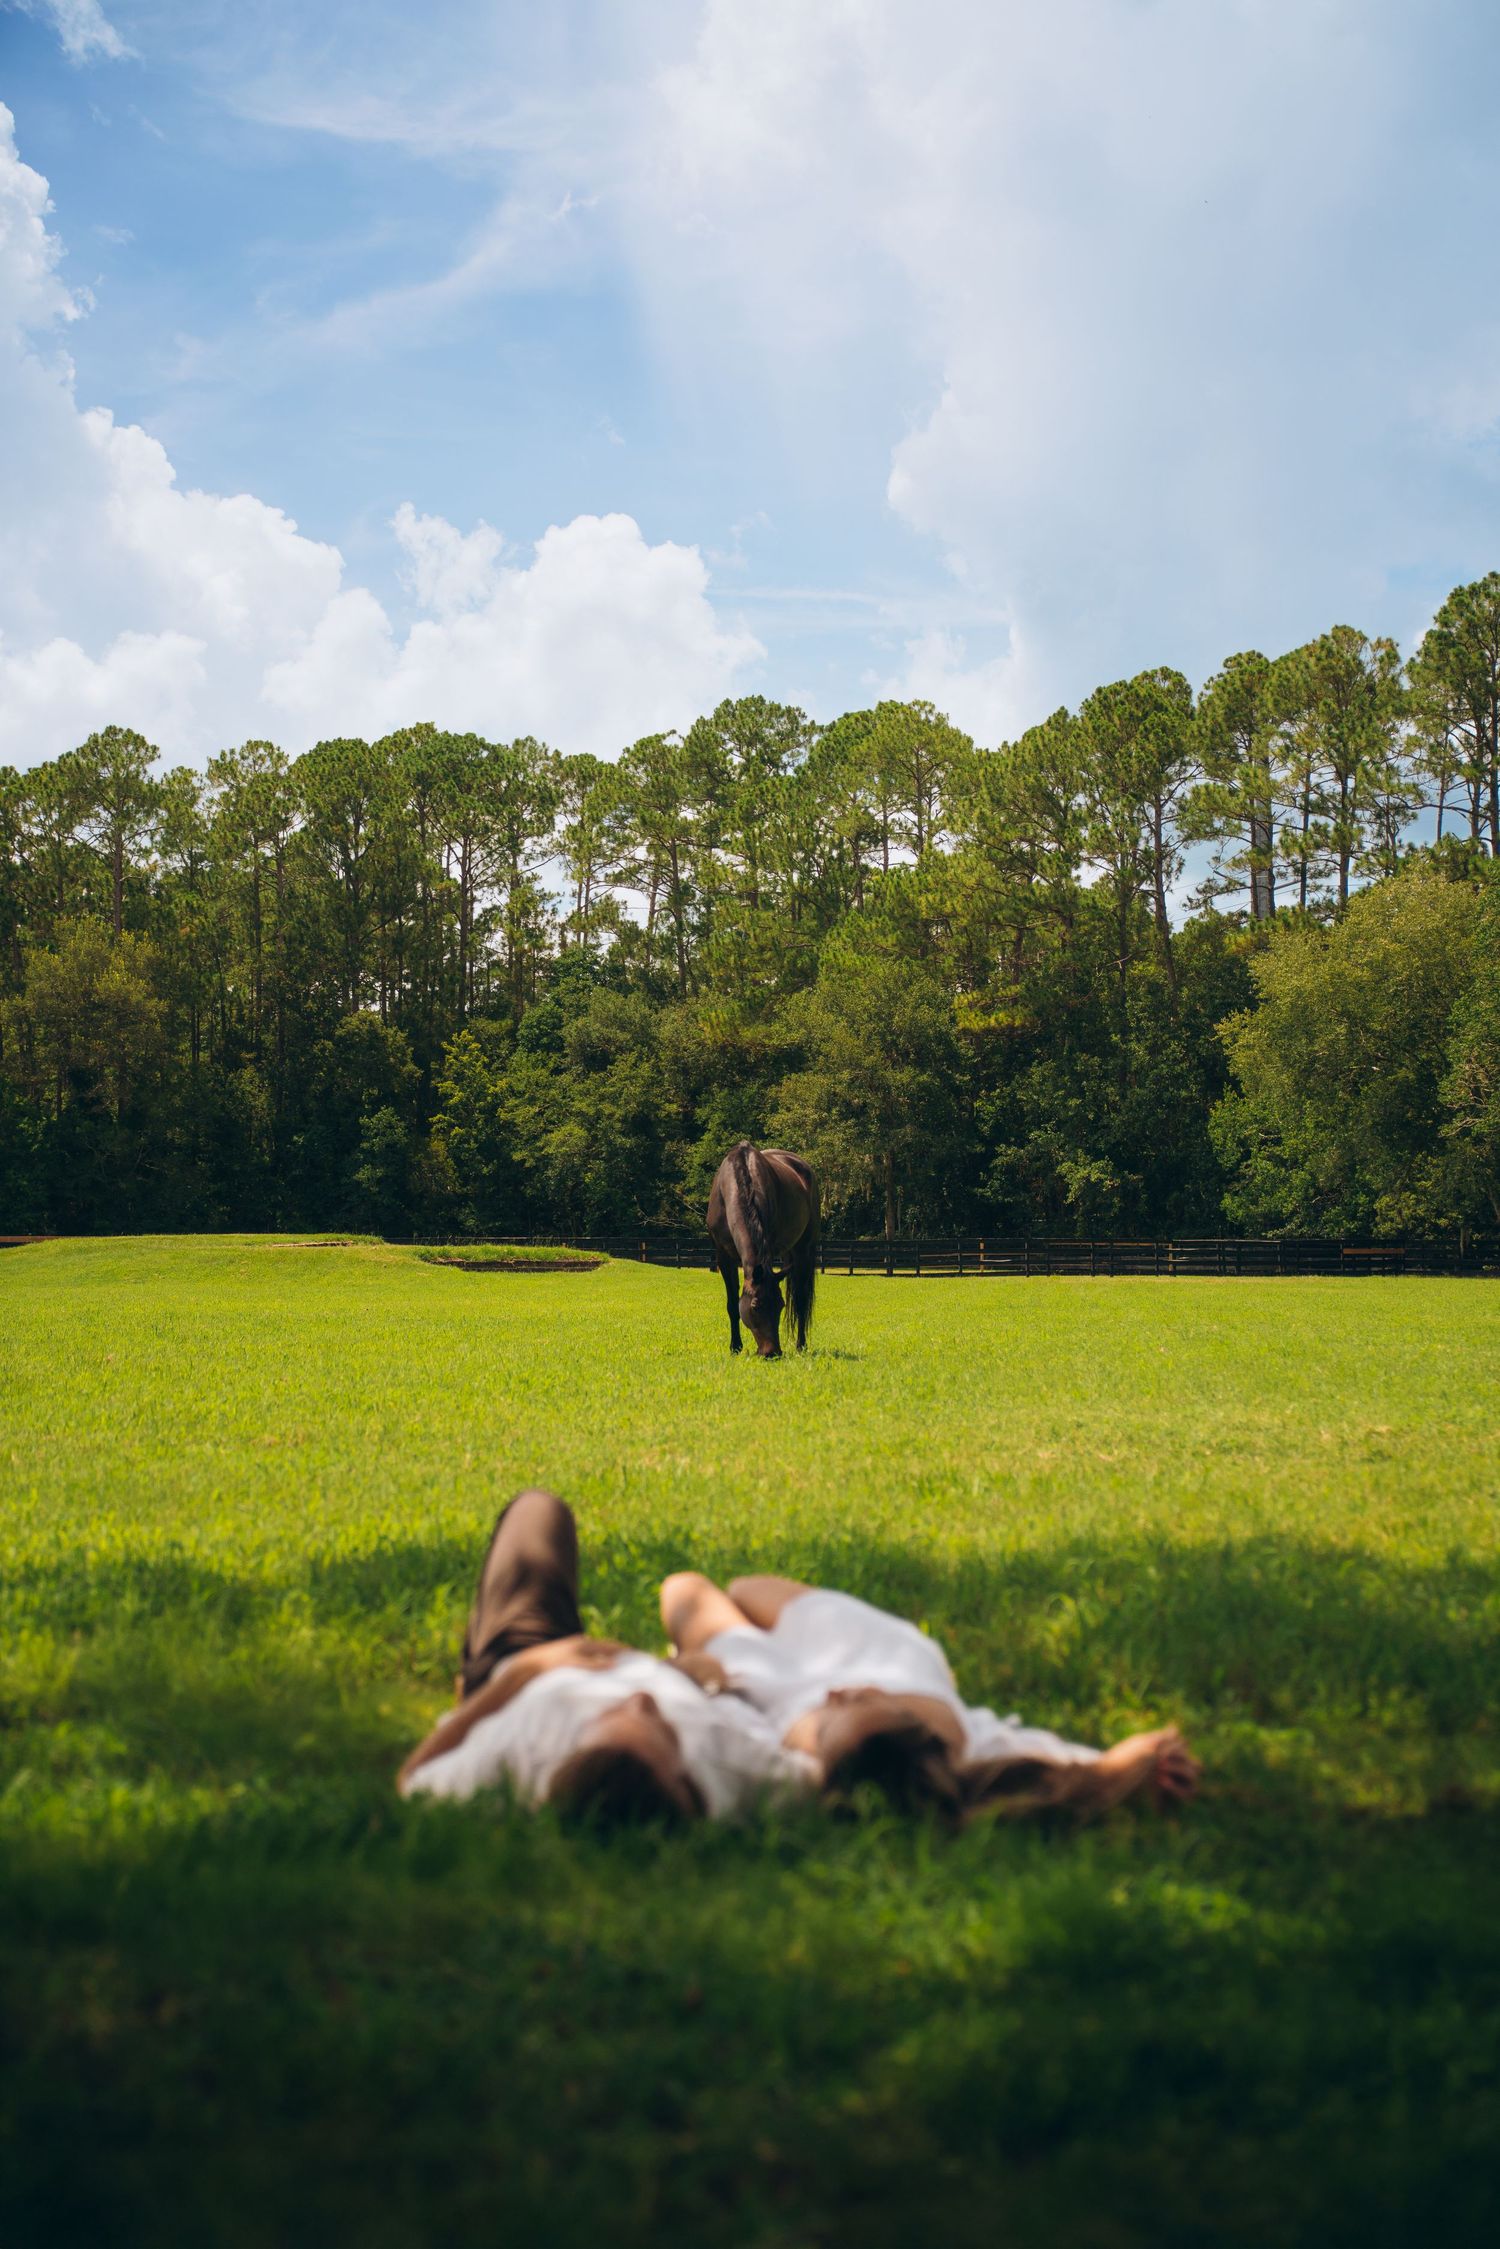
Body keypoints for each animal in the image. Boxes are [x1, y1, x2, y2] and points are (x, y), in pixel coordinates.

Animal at [706, 1142, 819, 1358]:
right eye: (755, 1306)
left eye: (780, 1305)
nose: (772, 1352)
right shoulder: (724, 1258)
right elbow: (732, 1304)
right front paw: (735, 1347)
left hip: (803, 1250)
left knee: (801, 1300)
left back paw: (801, 1345)